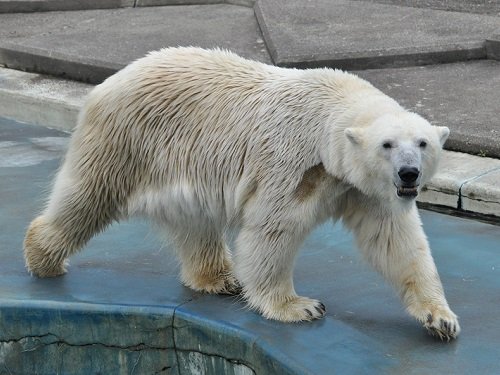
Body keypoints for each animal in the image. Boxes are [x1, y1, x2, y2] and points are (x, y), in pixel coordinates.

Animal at [23, 47, 460, 340]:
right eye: (388, 144)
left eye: (422, 143)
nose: (408, 173)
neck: (328, 115)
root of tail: (110, 80)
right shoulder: (293, 162)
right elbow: (272, 229)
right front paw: (299, 307)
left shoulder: (365, 188)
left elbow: (396, 242)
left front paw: (441, 318)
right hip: (126, 141)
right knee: (87, 197)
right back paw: (43, 257)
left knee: (195, 223)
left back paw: (218, 278)